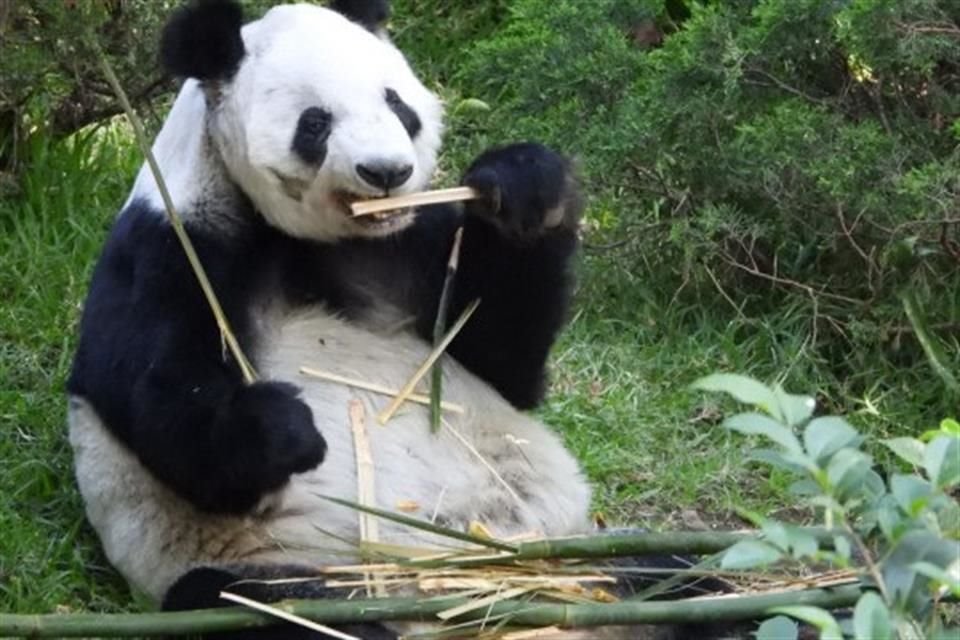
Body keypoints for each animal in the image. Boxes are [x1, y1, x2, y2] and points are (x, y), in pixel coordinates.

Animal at [67, 1, 727, 638]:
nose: (386, 172)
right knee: (255, 605)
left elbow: (506, 364)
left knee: (681, 579)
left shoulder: (409, 247)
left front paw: (524, 187)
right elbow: (163, 407)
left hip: (574, 561)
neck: (305, 240)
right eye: (315, 123)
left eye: (397, 103)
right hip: (295, 572)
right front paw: (286, 426)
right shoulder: (171, 247)